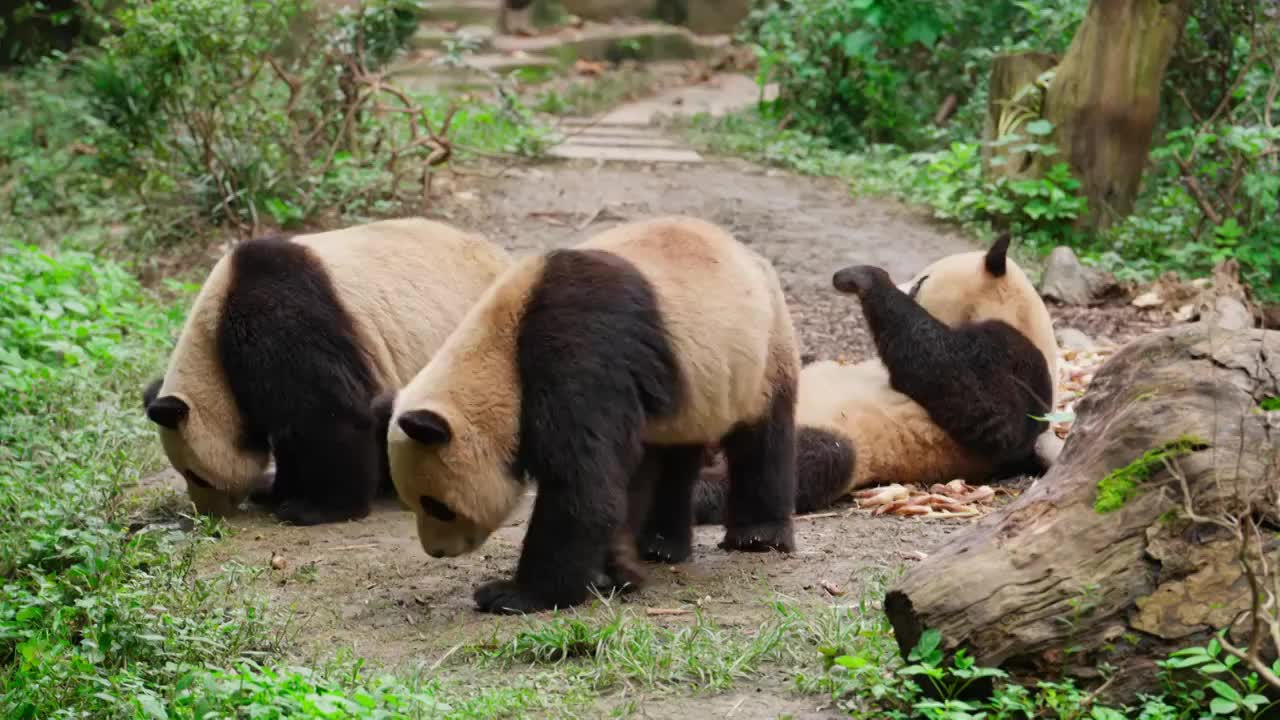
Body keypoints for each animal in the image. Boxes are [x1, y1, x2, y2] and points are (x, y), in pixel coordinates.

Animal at [141, 215, 509, 525]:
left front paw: (315, 509)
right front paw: (276, 491)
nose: (207, 514)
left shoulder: (277, 321)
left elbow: (328, 413)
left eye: (195, 475)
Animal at [696, 233, 1054, 517]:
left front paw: (860, 277)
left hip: (831, 438)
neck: (1019, 315)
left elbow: (985, 409)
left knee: (791, 465)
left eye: (922, 282)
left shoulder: (1019, 362)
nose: (908, 286)